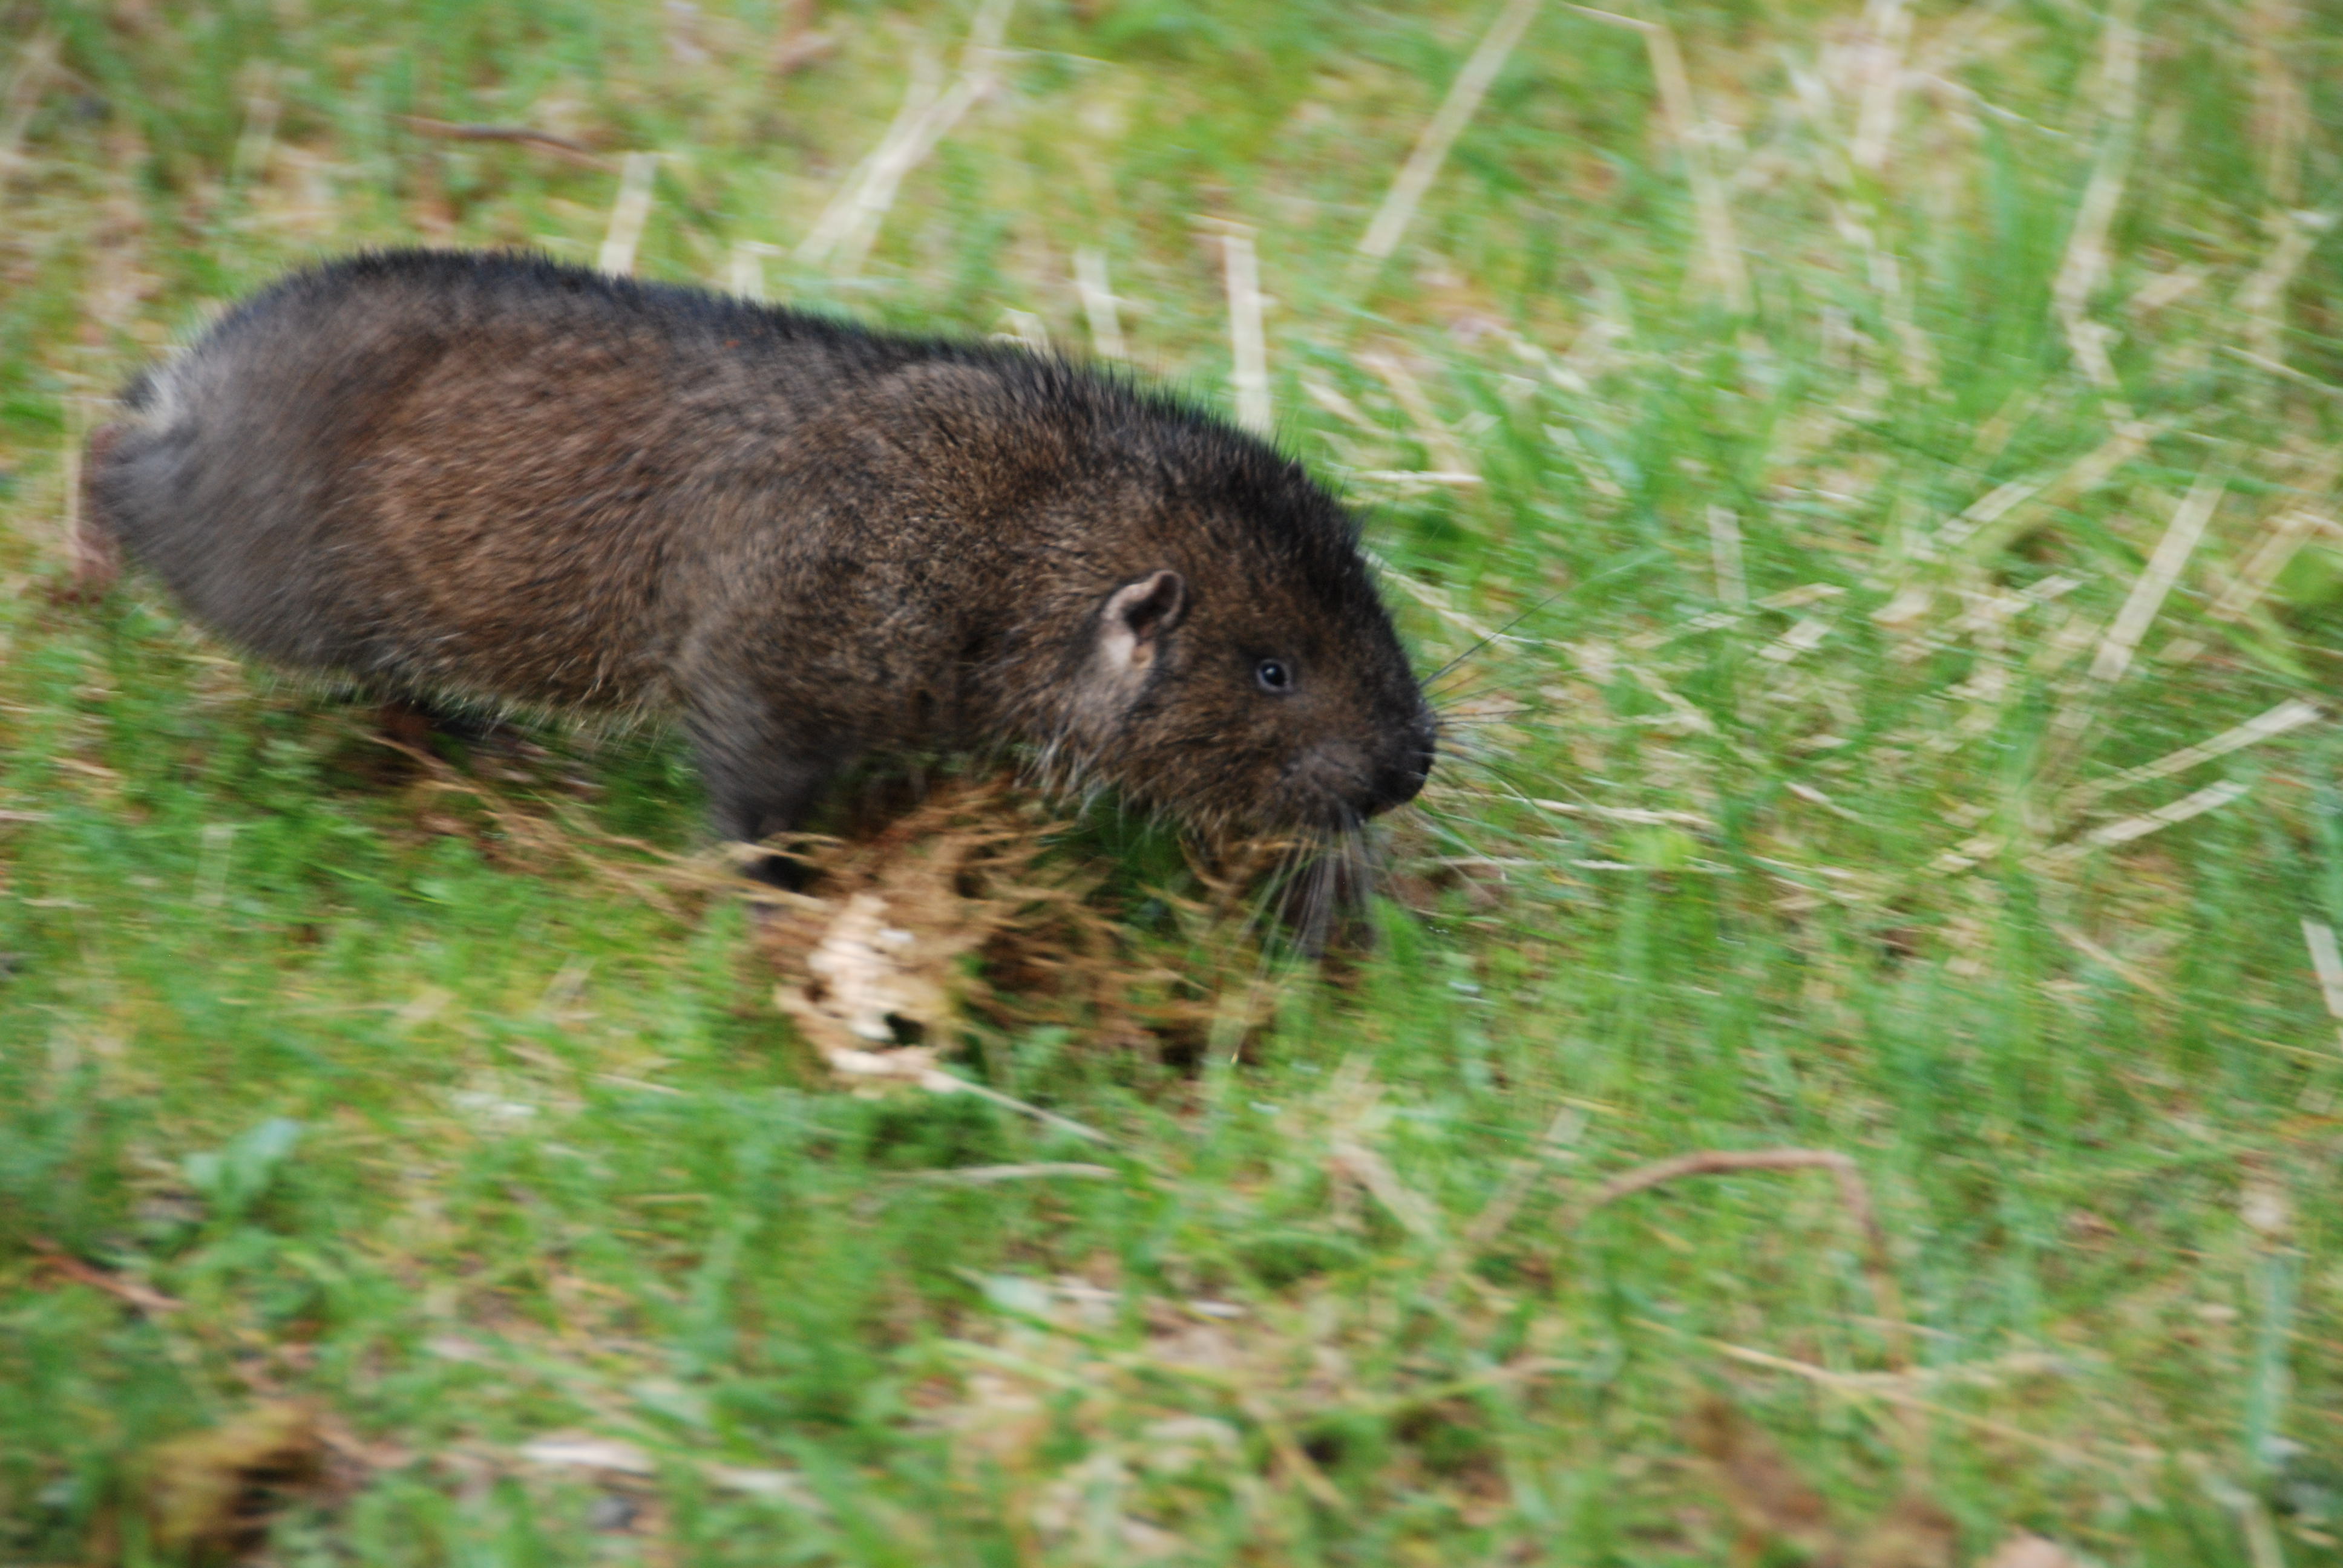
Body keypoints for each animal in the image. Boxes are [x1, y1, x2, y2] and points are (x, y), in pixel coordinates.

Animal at [82, 246, 1434, 858]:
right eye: (1274, 671)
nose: (1411, 766)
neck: (1018, 529)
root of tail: (187, 389)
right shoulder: (774, 646)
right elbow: (750, 794)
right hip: (256, 567)